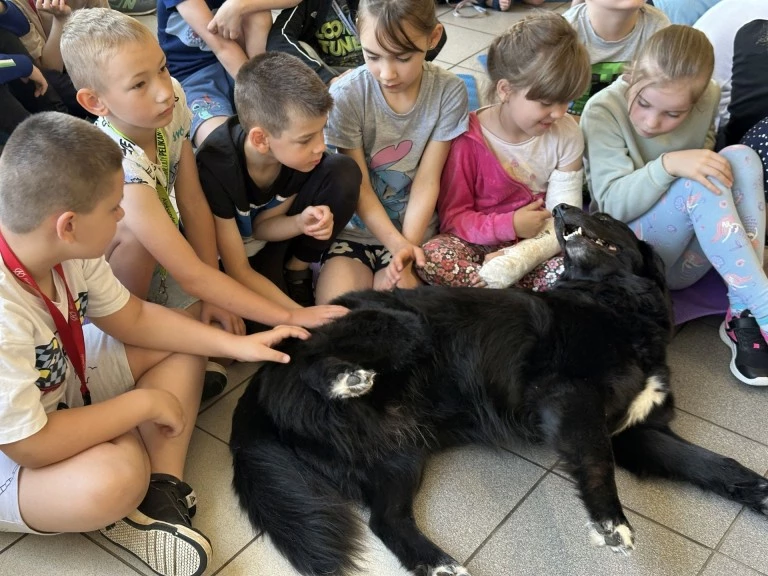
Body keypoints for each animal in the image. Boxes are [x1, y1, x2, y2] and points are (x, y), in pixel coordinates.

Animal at [228, 205, 768, 576]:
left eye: (604, 217)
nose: (560, 208)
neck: (616, 306)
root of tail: (259, 381)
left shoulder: (636, 430)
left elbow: (715, 464)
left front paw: (761, 492)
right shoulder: (569, 399)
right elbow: (597, 461)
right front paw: (610, 520)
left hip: (398, 453)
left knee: (386, 521)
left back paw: (438, 564)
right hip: (399, 327)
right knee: (311, 361)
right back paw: (345, 378)